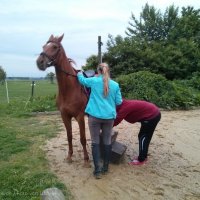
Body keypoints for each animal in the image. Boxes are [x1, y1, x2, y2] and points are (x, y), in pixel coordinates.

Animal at [36, 34, 89, 164]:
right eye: (43, 46)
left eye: (55, 47)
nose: (39, 62)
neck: (69, 89)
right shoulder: (64, 116)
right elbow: (69, 136)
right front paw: (69, 156)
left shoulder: (80, 116)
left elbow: (83, 138)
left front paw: (86, 159)